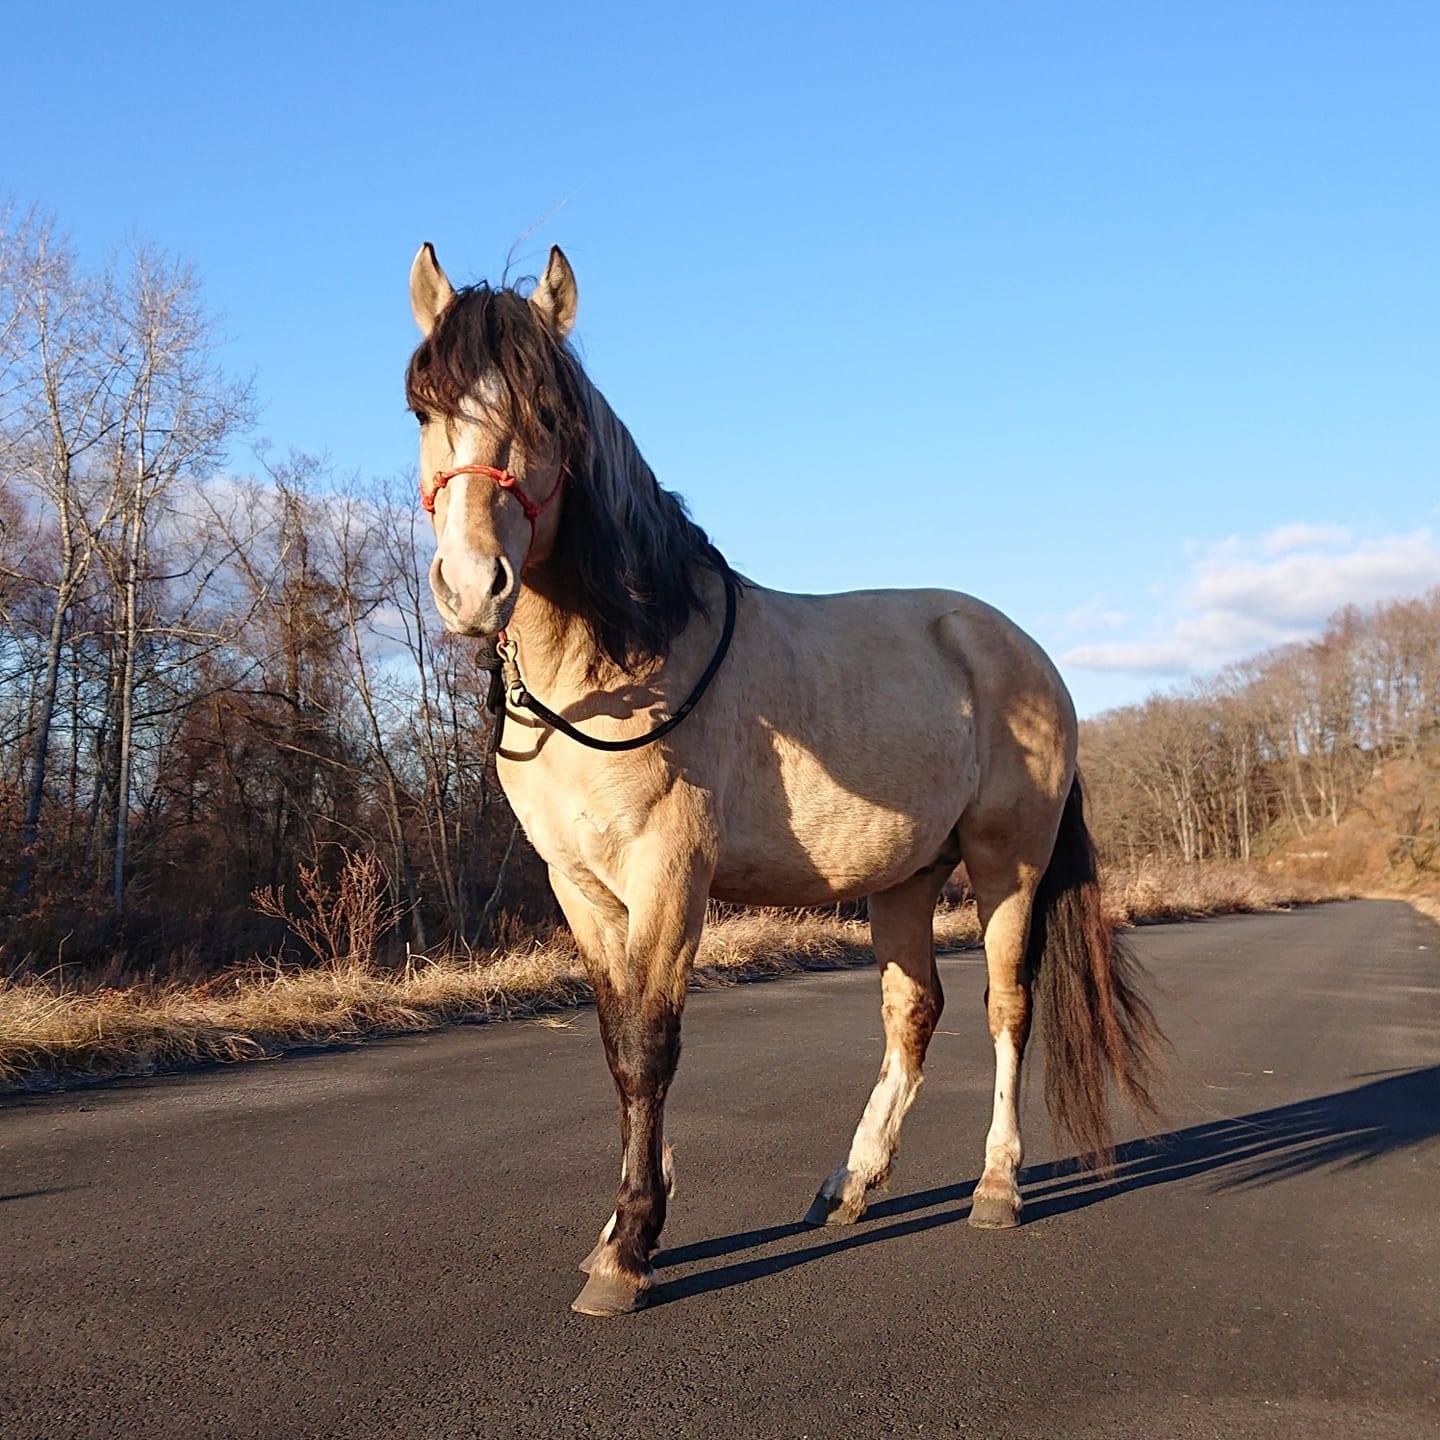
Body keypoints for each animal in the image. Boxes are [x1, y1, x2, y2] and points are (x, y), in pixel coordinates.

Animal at [404, 243, 1163, 1316]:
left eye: (547, 413)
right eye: (422, 408)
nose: (472, 587)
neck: (625, 661)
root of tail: (1026, 652)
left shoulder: (670, 876)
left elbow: (653, 1047)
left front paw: (630, 1252)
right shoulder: (581, 888)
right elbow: (618, 1049)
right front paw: (619, 1229)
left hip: (1004, 865)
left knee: (1006, 1007)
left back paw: (997, 1187)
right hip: (905, 879)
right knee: (912, 1012)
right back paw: (851, 1185)